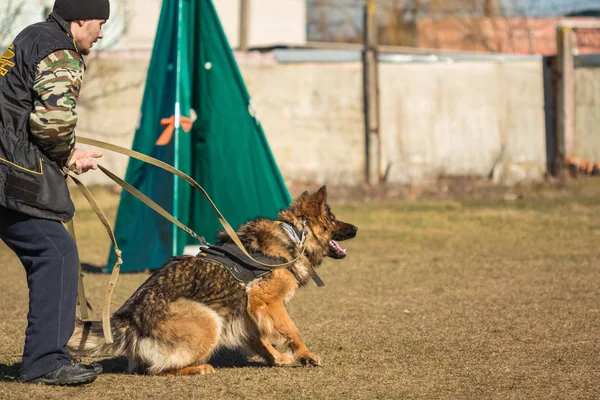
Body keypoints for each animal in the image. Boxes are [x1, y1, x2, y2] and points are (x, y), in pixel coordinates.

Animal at [67, 185, 356, 376]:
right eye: (333, 220)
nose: (355, 228)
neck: (295, 234)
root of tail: (129, 319)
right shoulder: (266, 301)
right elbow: (291, 330)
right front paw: (305, 354)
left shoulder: (249, 310)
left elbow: (261, 339)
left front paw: (276, 358)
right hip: (208, 319)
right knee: (158, 370)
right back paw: (198, 368)